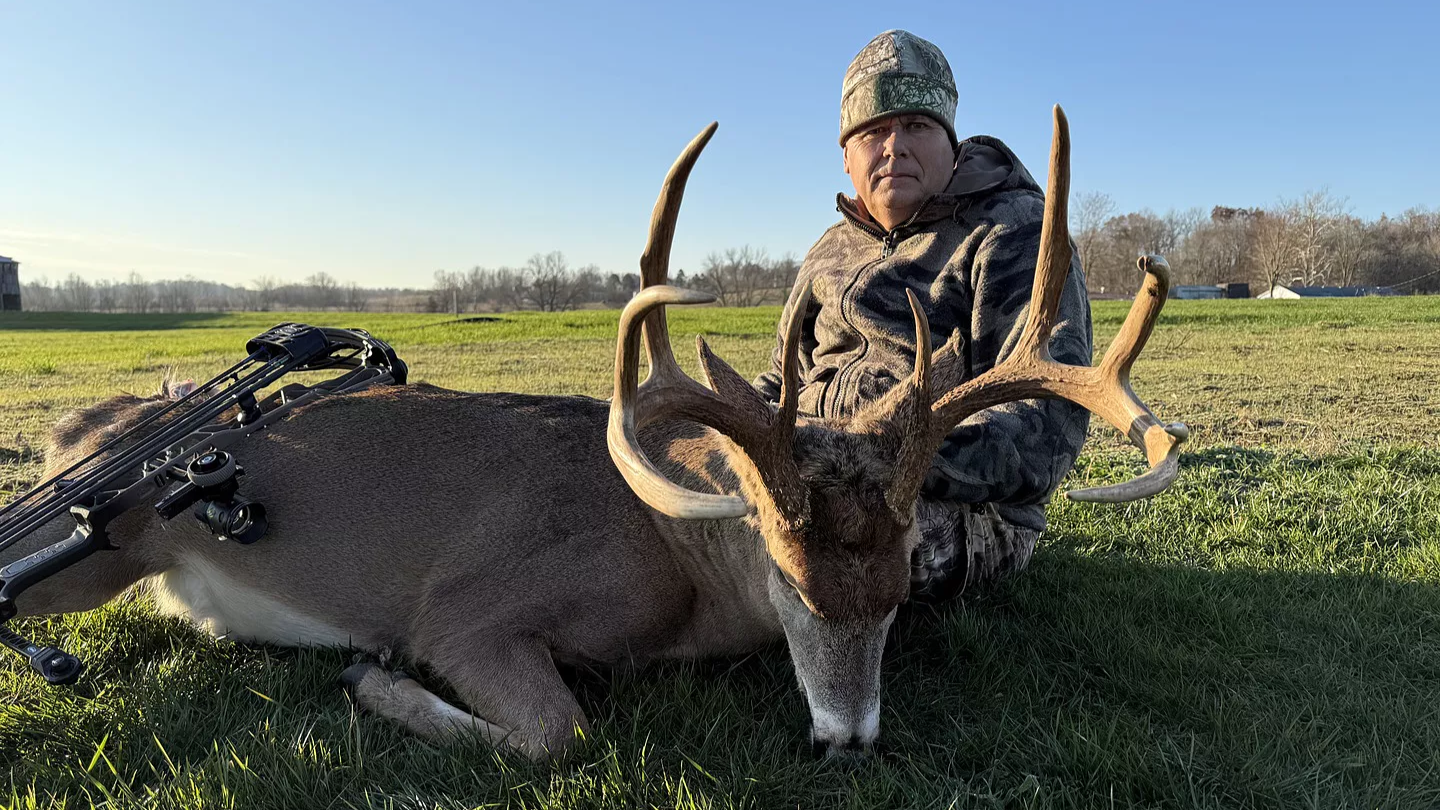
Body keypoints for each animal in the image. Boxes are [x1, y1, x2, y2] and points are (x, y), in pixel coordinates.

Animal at [0, 106, 1186, 760]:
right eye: (790, 580)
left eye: (898, 595)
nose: (846, 739)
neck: (678, 566)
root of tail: (83, 430)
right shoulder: (467, 612)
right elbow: (559, 737)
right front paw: (372, 682)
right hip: (92, 558)